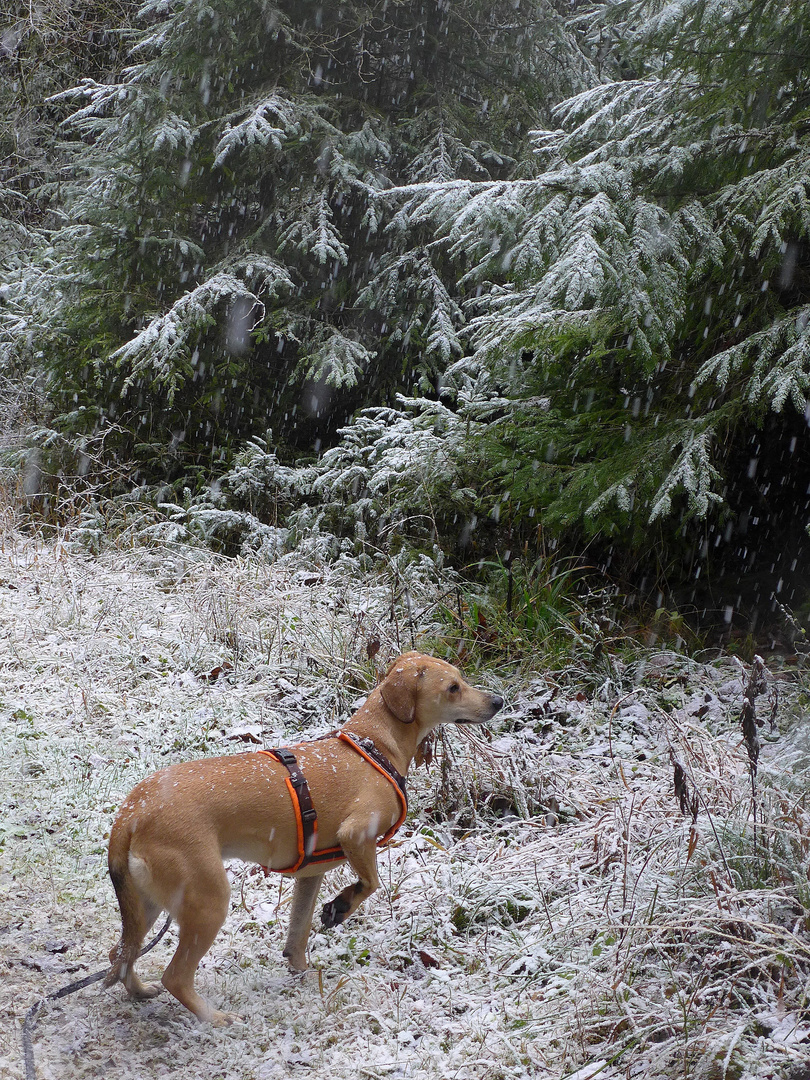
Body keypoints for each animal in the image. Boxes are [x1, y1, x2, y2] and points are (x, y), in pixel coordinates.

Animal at [104, 652, 505, 1023]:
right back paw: (214, 1018)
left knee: (120, 954)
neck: (374, 743)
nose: (498, 701)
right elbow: (370, 883)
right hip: (207, 902)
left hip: (148, 904)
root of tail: (132, 814)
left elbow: (298, 935)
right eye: (453, 687)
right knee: (174, 976)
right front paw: (341, 905)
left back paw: (139, 991)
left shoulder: (310, 875)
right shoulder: (357, 834)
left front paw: (304, 972)